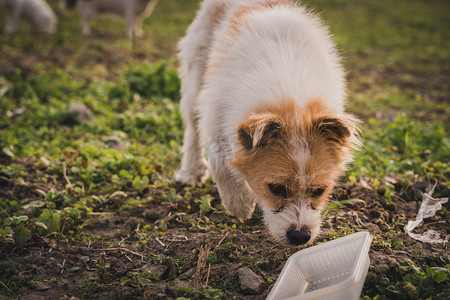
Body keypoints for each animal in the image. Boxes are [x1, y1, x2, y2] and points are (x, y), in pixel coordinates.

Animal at [175, 0, 358, 245]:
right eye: (276, 189)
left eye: (319, 191)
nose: (300, 236)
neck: (291, 94)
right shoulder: (214, 110)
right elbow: (219, 159)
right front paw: (239, 203)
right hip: (196, 75)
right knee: (192, 128)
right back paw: (192, 170)